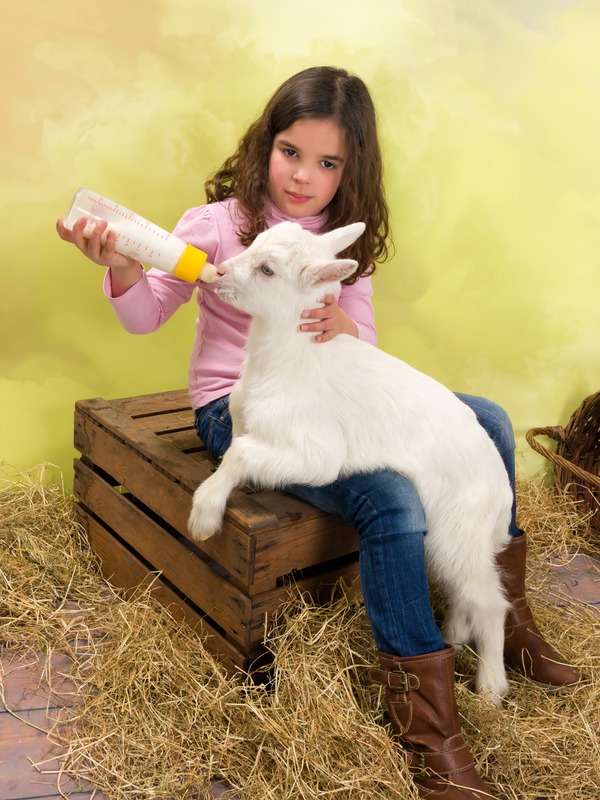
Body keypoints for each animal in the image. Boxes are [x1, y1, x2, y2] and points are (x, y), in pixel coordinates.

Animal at [187, 221, 512, 703]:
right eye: (254, 241)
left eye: (267, 269)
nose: (220, 272)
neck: (292, 359)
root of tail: (502, 489)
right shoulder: (246, 419)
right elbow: (235, 442)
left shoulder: (316, 453)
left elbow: (242, 453)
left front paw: (204, 514)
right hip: (457, 540)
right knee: (463, 590)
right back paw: (455, 636)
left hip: (461, 532)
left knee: (491, 603)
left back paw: (490, 689)